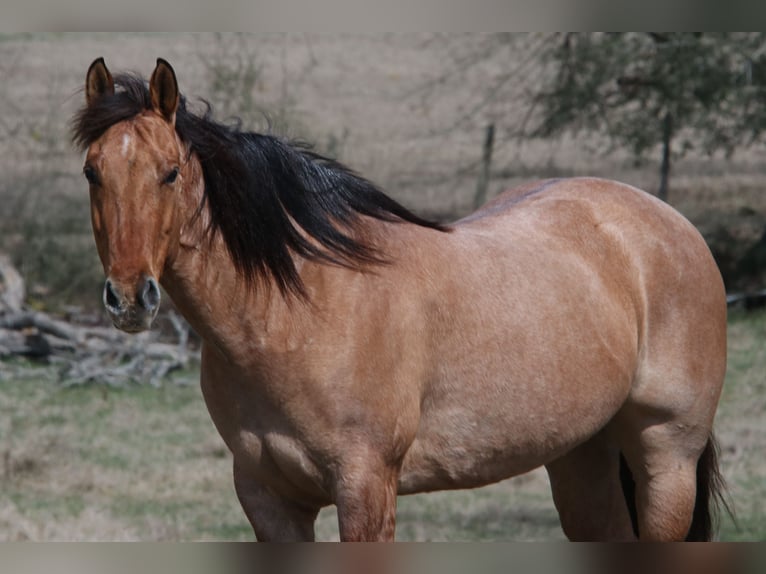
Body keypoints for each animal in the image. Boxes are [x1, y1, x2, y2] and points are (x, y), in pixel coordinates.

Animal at [73, 58, 732, 544]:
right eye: (91, 172)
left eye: (170, 173)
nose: (130, 297)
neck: (297, 313)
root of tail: (668, 221)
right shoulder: (268, 499)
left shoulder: (365, 487)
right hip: (581, 457)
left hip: (666, 459)